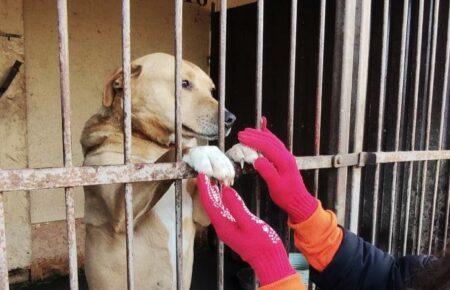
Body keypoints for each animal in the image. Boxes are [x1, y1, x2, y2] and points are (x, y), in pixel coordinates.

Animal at [81, 52, 256, 290]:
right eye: (184, 83)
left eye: (212, 90)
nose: (230, 119)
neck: (147, 140)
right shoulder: (121, 211)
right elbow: (176, 151)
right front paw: (207, 153)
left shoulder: (200, 215)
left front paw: (239, 149)